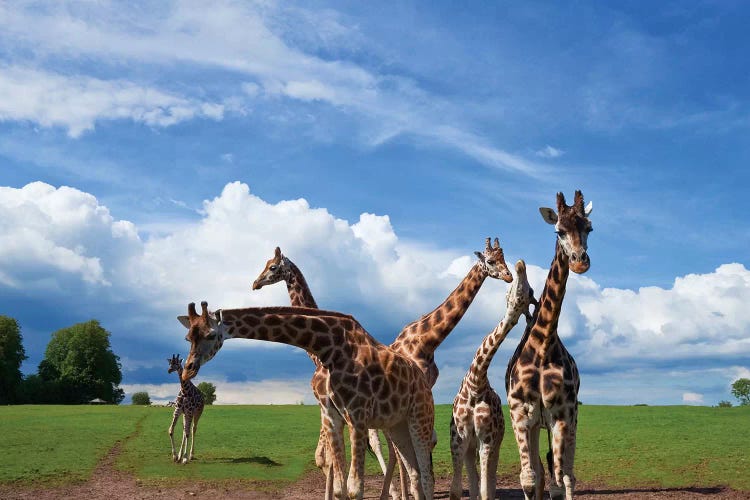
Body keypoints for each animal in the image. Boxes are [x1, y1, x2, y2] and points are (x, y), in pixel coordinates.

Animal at [181, 300, 434, 500]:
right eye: (187, 337)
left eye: (210, 335)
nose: (188, 370)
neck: (331, 348)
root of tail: (423, 380)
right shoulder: (333, 417)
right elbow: (340, 489)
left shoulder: (358, 416)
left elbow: (355, 489)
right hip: (397, 425)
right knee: (416, 475)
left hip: (420, 417)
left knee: (427, 477)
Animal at [253, 247, 394, 500]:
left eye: (272, 266)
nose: (255, 283)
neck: (318, 355)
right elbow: (330, 460)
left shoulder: (328, 406)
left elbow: (327, 459)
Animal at [450, 262, 536, 500]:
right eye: (511, 293)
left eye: (530, 293)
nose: (520, 265)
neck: (475, 383)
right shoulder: (459, 439)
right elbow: (457, 489)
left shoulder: (487, 438)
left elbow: (485, 489)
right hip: (470, 445)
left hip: (495, 441)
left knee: (490, 480)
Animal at [508, 191, 596, 500]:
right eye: (559, 231)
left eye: (589, 228)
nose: (580, 261)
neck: (543, 344)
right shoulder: (521, 414)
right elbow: (529, 478)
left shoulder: (560, 414)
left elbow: (560, 479)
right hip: (538, 424)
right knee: (542, 471)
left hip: (571, 419)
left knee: (565, 475)